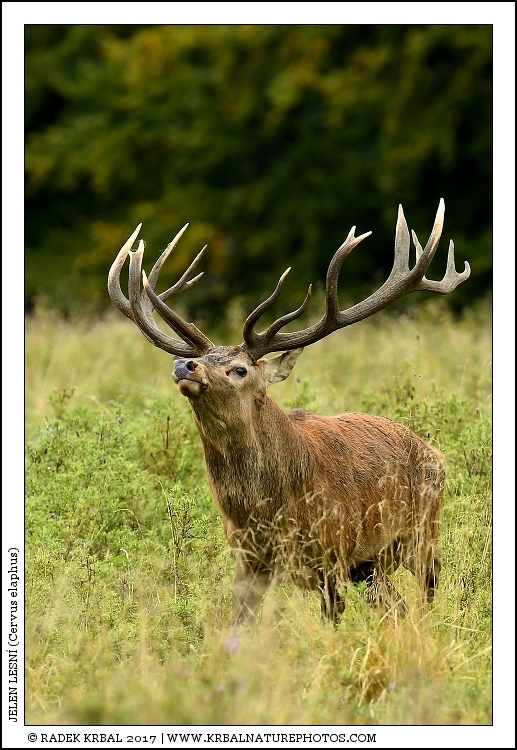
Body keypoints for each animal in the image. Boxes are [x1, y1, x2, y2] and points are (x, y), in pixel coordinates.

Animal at [108, 199, 470, 627]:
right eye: (203, 358)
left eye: (240, 369)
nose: (185, 365)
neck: (268, 509)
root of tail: (435, 453)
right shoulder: (248, 561)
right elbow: (238, 627)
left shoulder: (332, 554)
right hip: (370, 565)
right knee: (394, 606)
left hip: (422, 532)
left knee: (427, 594)